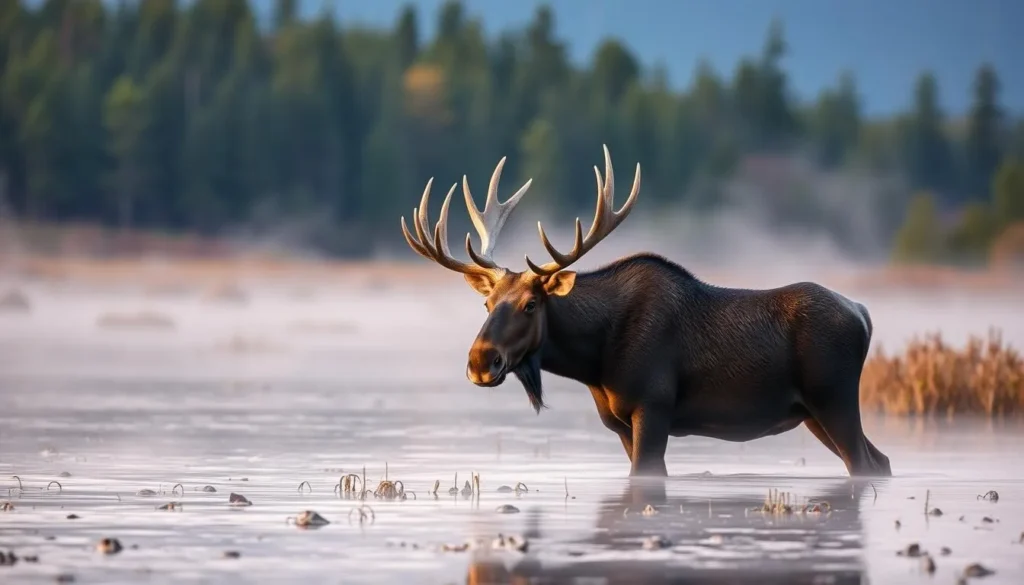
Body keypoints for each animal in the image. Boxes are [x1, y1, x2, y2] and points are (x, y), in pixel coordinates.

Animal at [400, 145, 893, 478]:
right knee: (881, 459)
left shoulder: (653, 408)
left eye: (531, 303)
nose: (480, 362)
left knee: (865, 462)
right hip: (813, 412)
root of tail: (863, 314)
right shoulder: (618, 422)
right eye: (486, 302)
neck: (594, 361)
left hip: (834, 398)